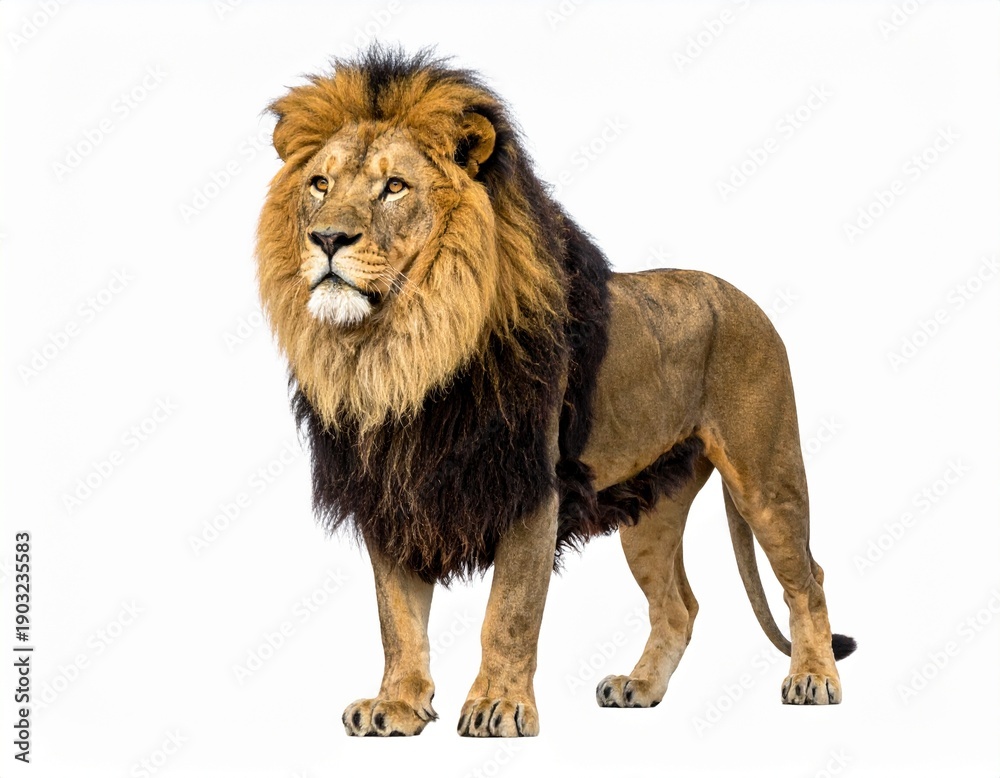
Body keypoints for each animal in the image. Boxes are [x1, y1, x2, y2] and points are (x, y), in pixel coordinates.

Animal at [255, 46, 855, 738]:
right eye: (319, 185)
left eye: (394, 187)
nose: (326, 239)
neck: (401, 349)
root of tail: (740, 295)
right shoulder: (390, 493)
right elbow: (397, 618)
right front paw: (397, 705)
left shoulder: (529, 487)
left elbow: (509, 612)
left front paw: (497, 705)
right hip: (650, 509)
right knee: (679, 605)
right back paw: (639, 687)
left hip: (766, 474)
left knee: (808, 578)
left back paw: (813, 678)